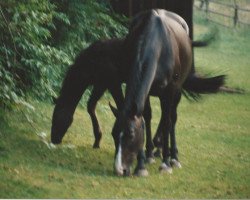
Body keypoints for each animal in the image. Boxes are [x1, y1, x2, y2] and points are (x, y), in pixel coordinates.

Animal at [109, 9, 225, 177]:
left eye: (131, 134)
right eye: (113, 133)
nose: (120, 169)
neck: (156, 45)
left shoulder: (169, 91)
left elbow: (167, 121)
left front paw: (166, 163)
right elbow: (145, 118)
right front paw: (142, 164)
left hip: (177, 91)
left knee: (172, 118)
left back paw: (173, 156)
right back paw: (153, 152)